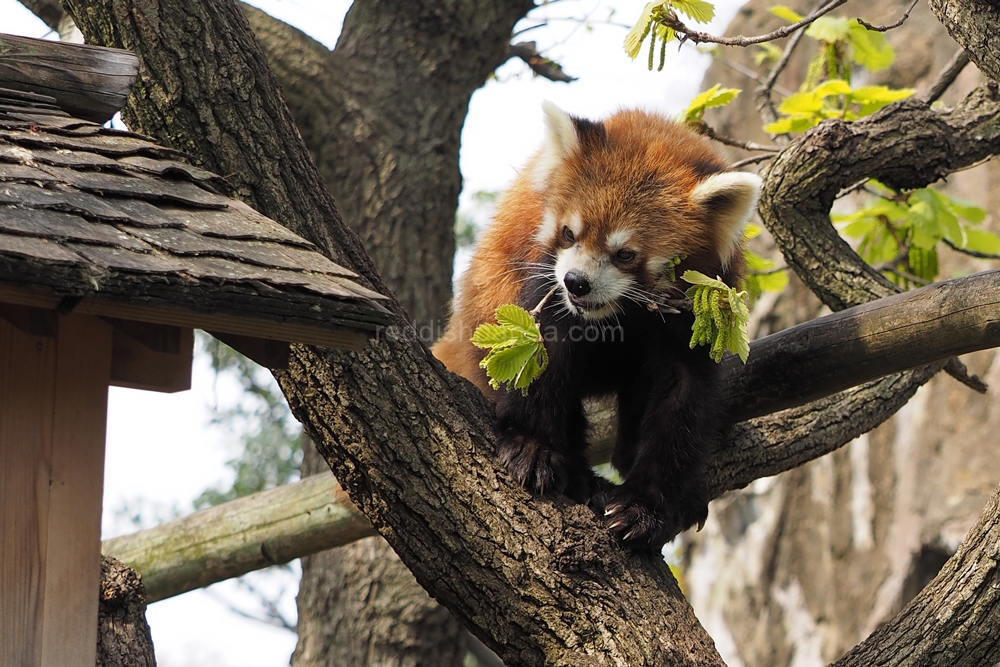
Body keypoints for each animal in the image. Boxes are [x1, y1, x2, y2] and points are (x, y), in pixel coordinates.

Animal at [434, 103, 760, 548]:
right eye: (569, 233)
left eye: (625, 254)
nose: (577, 282)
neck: (618, 313)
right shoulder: (544, 282)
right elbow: (542, 357)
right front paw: (534, 448)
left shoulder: (694, 314)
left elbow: (682, 396)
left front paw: (648, 507)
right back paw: (581, 477)